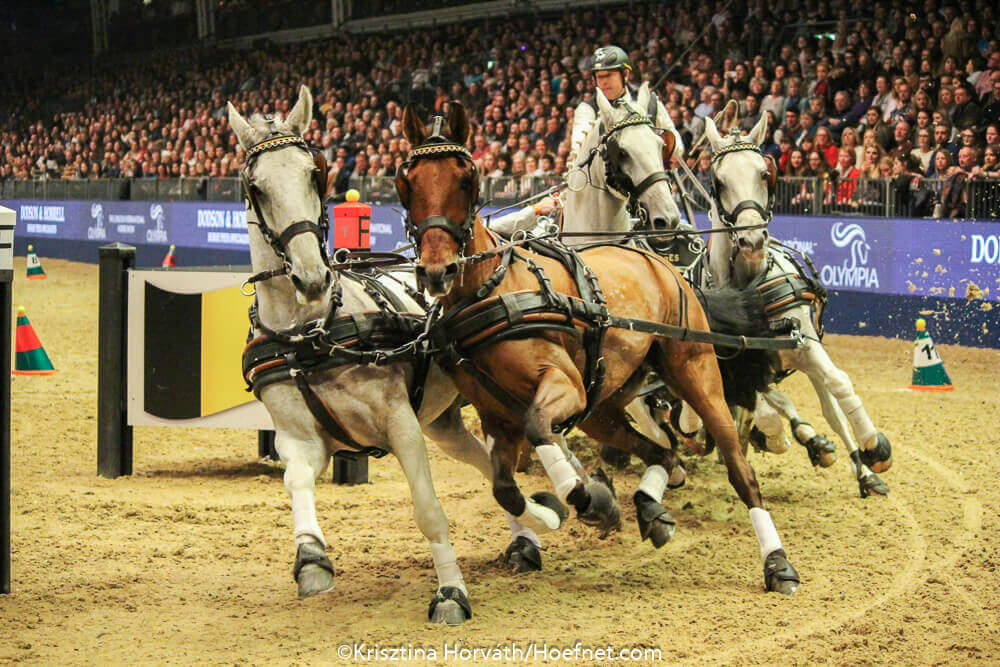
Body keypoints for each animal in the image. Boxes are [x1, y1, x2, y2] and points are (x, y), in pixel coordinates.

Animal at [230, 85, 497, 624]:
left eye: (315, 172)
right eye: (256, 188)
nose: (311, 276)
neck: (312, 332)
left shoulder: (402, 425)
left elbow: (428, 511)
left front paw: (451, 593)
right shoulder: (300, 438)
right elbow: (295, 481)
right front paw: (311, 559)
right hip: (445, 421)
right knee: (490, 463)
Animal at [397, 101, 801, 594]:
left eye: (466, 177)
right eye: (407, 180)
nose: (438, 269)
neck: (493, 288)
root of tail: (658, 261)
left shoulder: (562, 388)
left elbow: (539, 428)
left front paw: (589, 498)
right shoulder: (497, 416)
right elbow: (505, 489)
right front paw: (563, 510)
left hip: (696, 376)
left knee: (739, 470)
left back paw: (777, 563)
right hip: (602, 408)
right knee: (661, 450)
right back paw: (650, 506)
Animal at [688, 112, 892, 497]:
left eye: (764, 173)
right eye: (719, 181)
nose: (752, 240)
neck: (748, 287)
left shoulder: (805, 344)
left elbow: (840, 384)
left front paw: (874, 446)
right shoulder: (741, 367)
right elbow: (767, 408)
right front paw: (777, 437)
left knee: (830, 408)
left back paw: (862, 471)